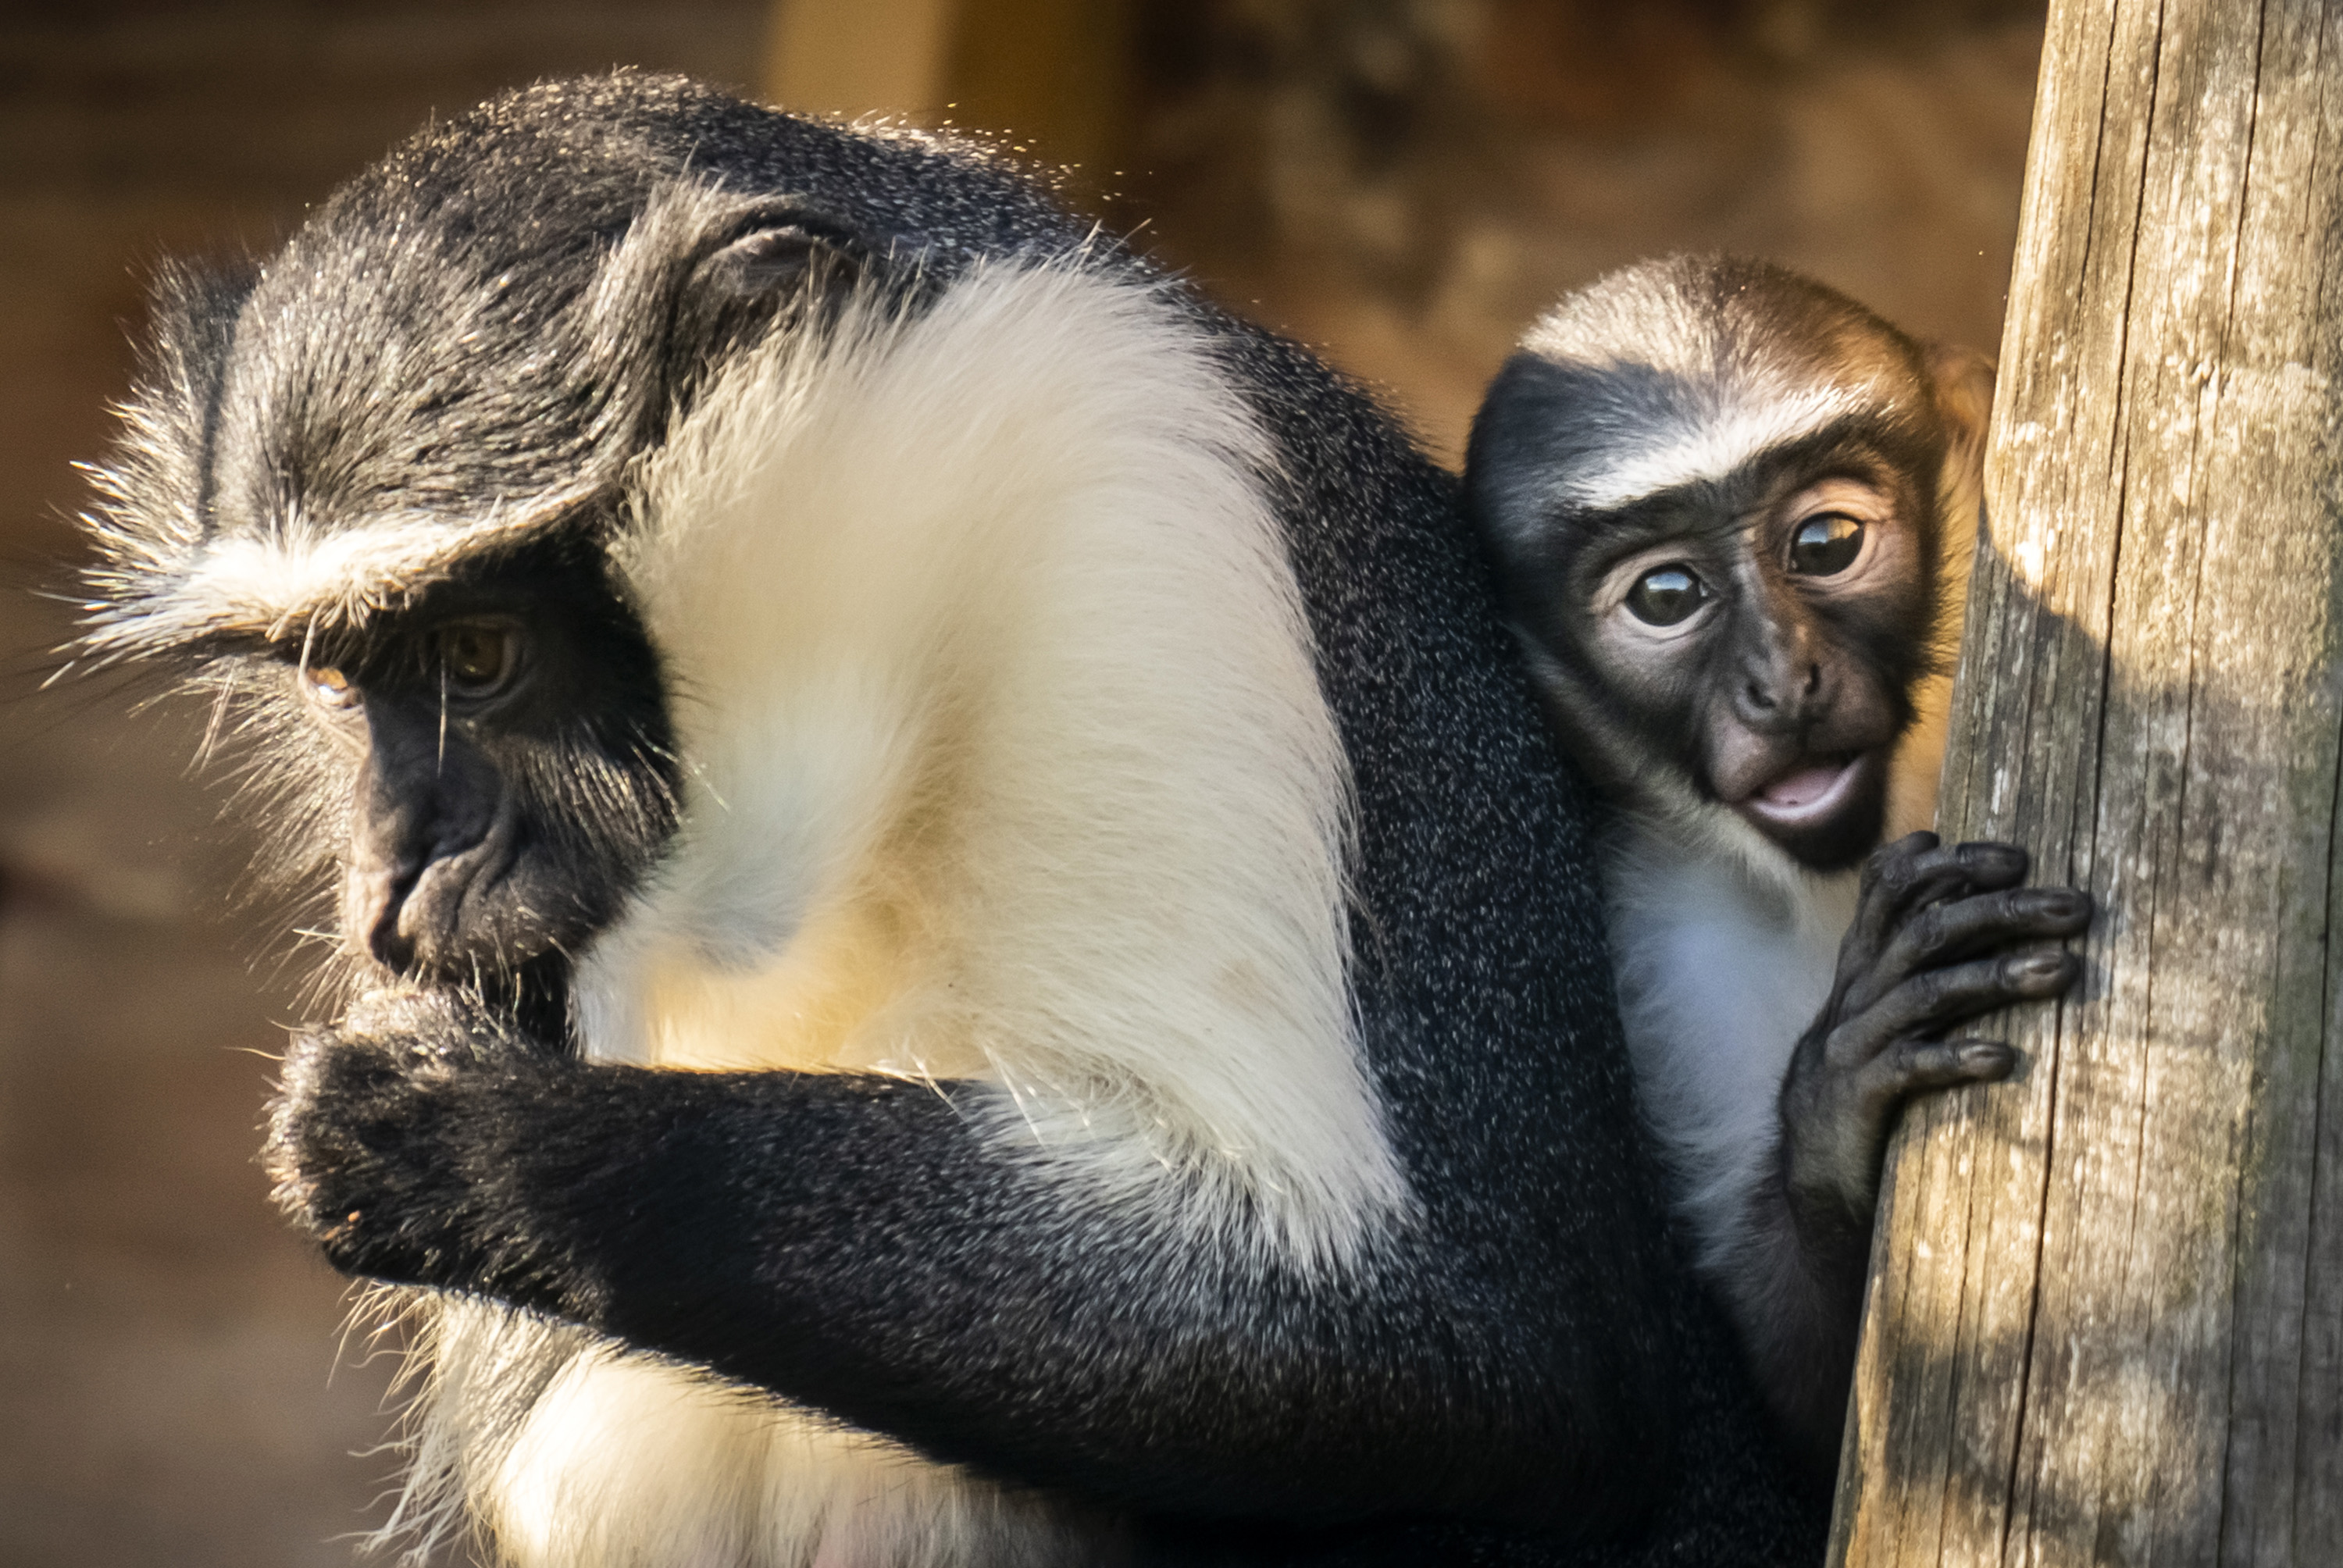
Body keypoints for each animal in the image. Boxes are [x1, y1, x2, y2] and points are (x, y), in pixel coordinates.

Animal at [72, 78, 1827, 1568]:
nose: (400, 867)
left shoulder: (1119, 501)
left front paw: (473, 1141)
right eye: (339, 680)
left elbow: (1455, 1352)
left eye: (481, 654)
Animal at [1465, 255, 2093, 1475]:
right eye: (1666, 596)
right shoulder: (1666, 947)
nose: (1779, 680)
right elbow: (1820, 1407)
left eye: (1825, 544)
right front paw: (1841, 1097)